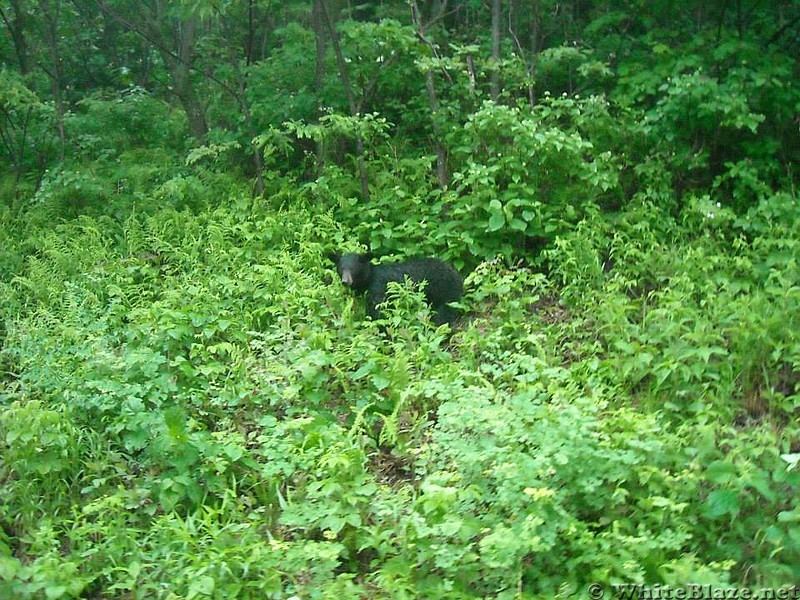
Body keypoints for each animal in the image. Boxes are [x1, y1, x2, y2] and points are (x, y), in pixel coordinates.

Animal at [324, 253, 462, 328]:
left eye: (353, 268)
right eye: (341, 268)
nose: (345, 281)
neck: (369, 279)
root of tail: (456, 274)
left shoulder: (379, 288)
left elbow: (378, 312)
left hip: (444, 290)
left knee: (445, 312)